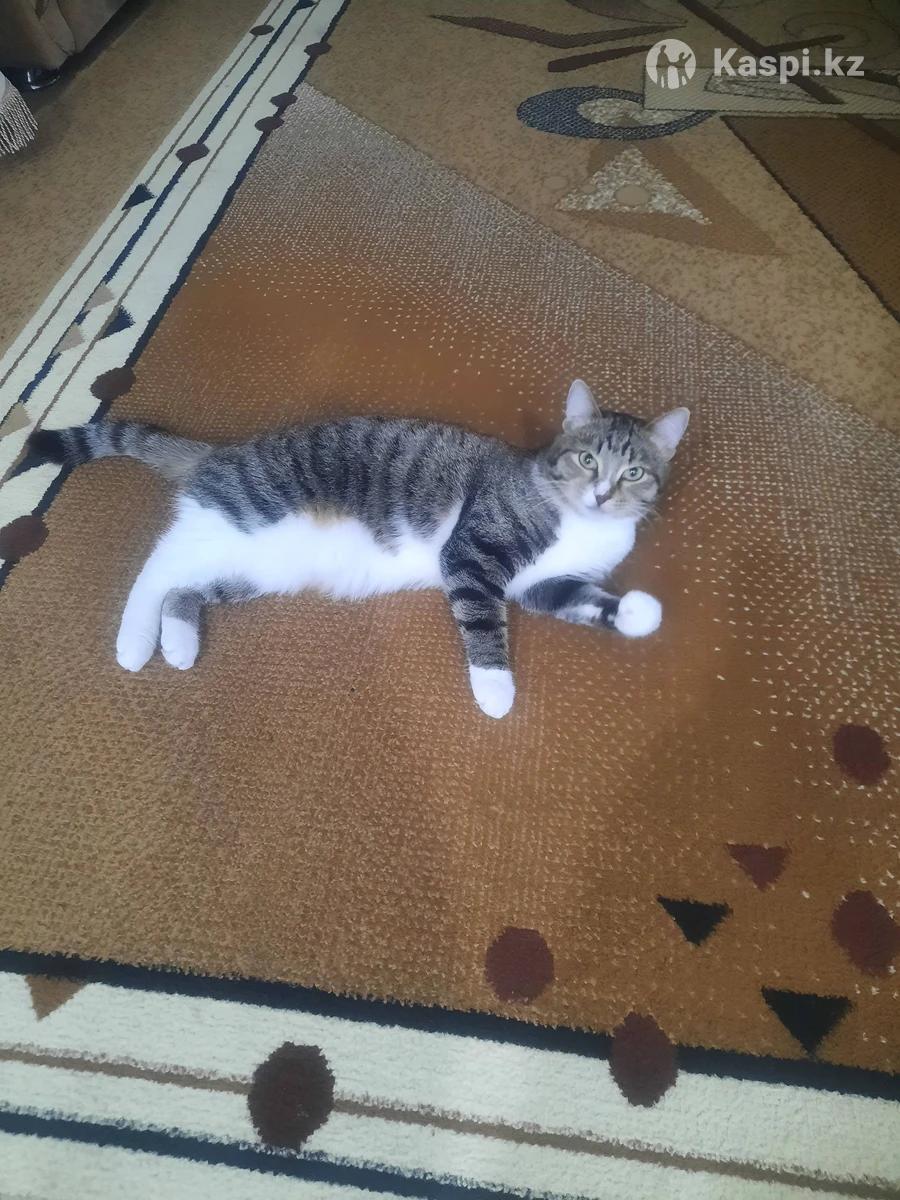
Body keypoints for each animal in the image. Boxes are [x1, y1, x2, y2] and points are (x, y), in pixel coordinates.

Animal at [28, 380, 688, 718]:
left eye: (633, 473)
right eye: (587, 460)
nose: (602, 493)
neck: (577, 520)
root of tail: (221, 454)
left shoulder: (544, 585)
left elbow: (587, 600)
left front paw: (639, 613)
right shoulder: (472, 552)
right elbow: (483, 621)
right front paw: (496, 690)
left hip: (256, 566)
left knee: (185, 586)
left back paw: (180, 642)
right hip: (244, 514)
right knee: (158, 564)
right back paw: (136, 641)